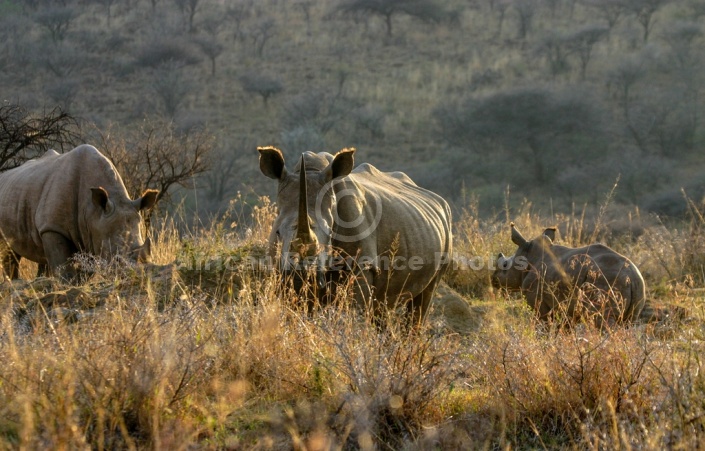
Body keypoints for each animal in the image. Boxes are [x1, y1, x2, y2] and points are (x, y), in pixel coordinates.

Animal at [0, 145, 158, 280]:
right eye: (116, 259)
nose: (137, 274)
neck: (93, 210)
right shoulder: (53, 227)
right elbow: (63, 267)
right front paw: (68, 283)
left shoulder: (91, 231)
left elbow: (87, 270)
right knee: (8, 251)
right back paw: (13, 281)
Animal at [258, 148, 452, 324]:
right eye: (277, 232)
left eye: (330, 234)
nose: (301, 277)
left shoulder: (362, 264)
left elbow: (353, 314)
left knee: (423, 299)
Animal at [492, 223, 648, 326]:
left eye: (504, 266)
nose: (493, 280)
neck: (529, 255)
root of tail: (632, 277)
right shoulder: (565, 311)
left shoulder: (538, 304)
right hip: (637, 288)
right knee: (628, 324)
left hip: (606, 281)